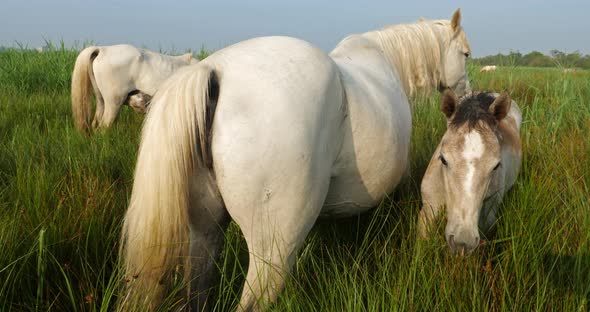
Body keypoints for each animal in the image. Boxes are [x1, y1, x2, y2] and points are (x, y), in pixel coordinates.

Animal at [122, 8, 474, 310]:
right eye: (466, 54)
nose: (467, 98)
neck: (384, 57)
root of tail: (213, 71)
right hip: (271, 255)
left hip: (205, 234)